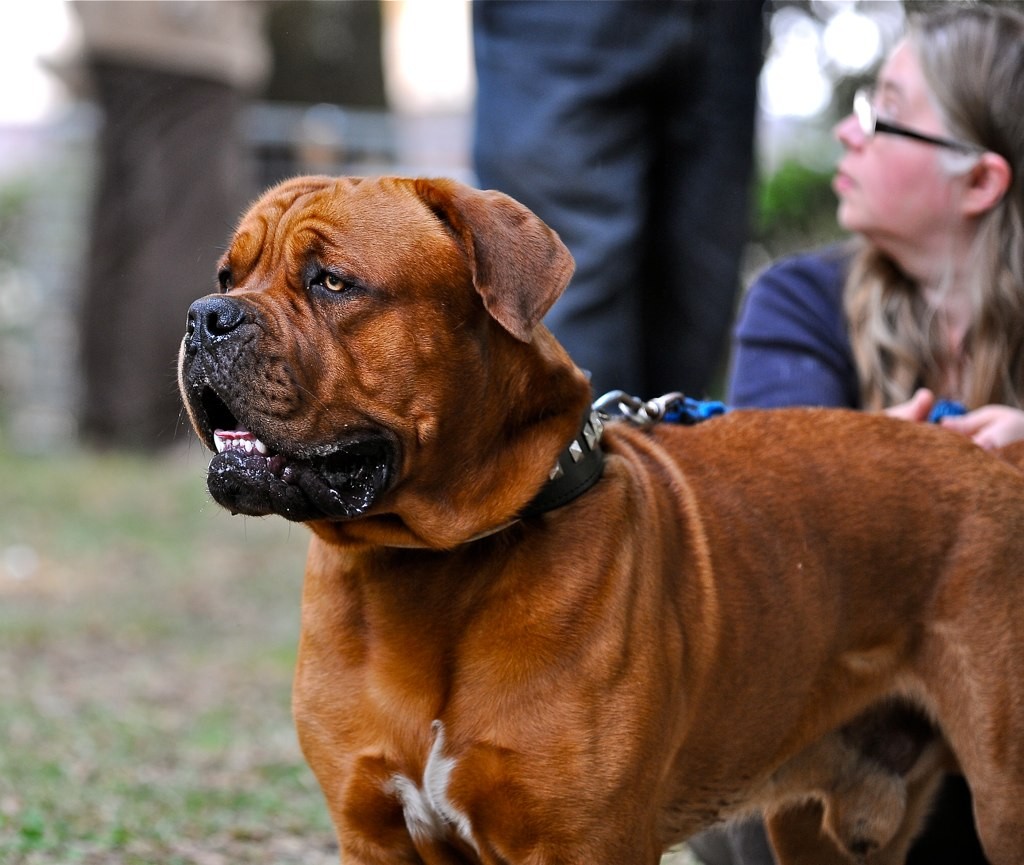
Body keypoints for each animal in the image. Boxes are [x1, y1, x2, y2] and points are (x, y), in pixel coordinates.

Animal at [180, 175, 1024, 863]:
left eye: (332, 282)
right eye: (227, 275)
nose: (204, 315)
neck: (430, 567)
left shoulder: (584, 840)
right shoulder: (374, 834)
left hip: (1003, 799)